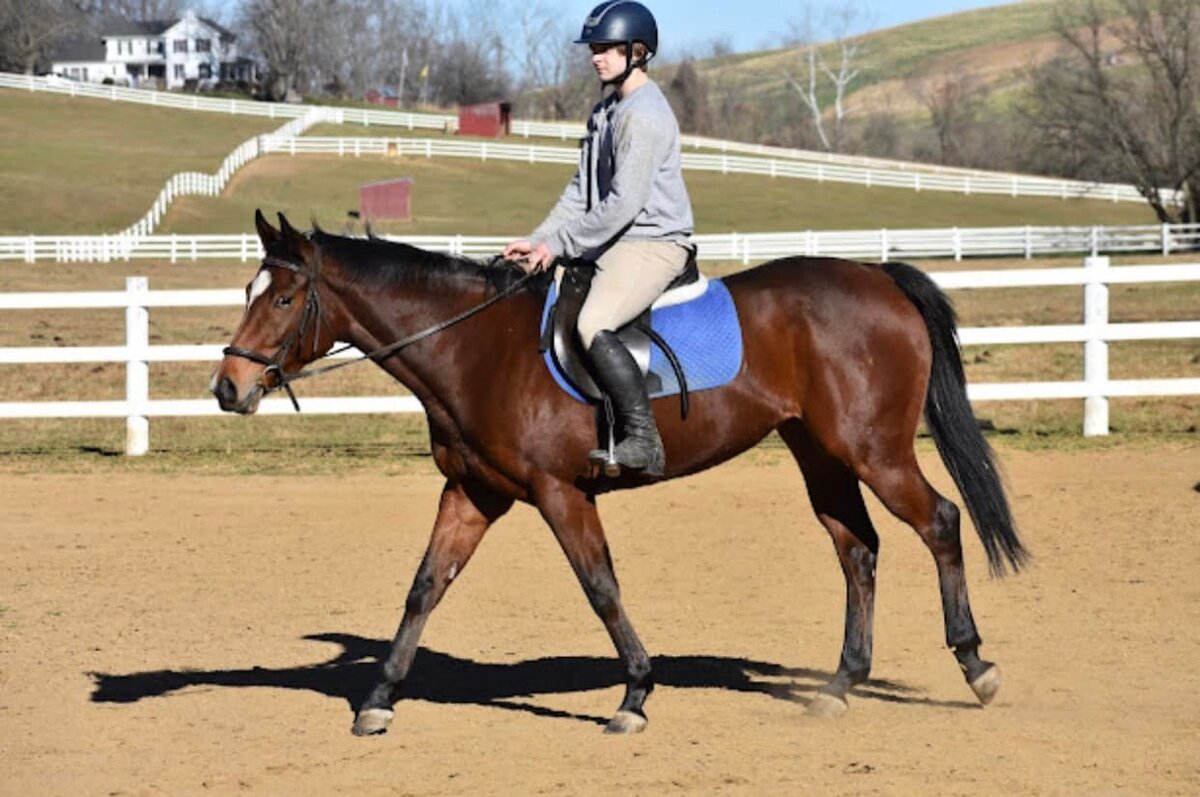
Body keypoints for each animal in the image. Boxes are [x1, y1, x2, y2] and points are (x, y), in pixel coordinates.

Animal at [212, 211, 1028, 736]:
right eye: (249, 293)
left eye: (283, 297)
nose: (227, 388)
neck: (474, 348)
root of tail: (876, 276)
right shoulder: (474, 492)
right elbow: (425, 587)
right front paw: (378, 699)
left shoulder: (559, 492)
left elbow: (600, 586)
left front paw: (635, 694)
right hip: (819, 453)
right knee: (857, 550)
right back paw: (840, 686)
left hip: (873, 450)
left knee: (939, 523)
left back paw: (977, 667)